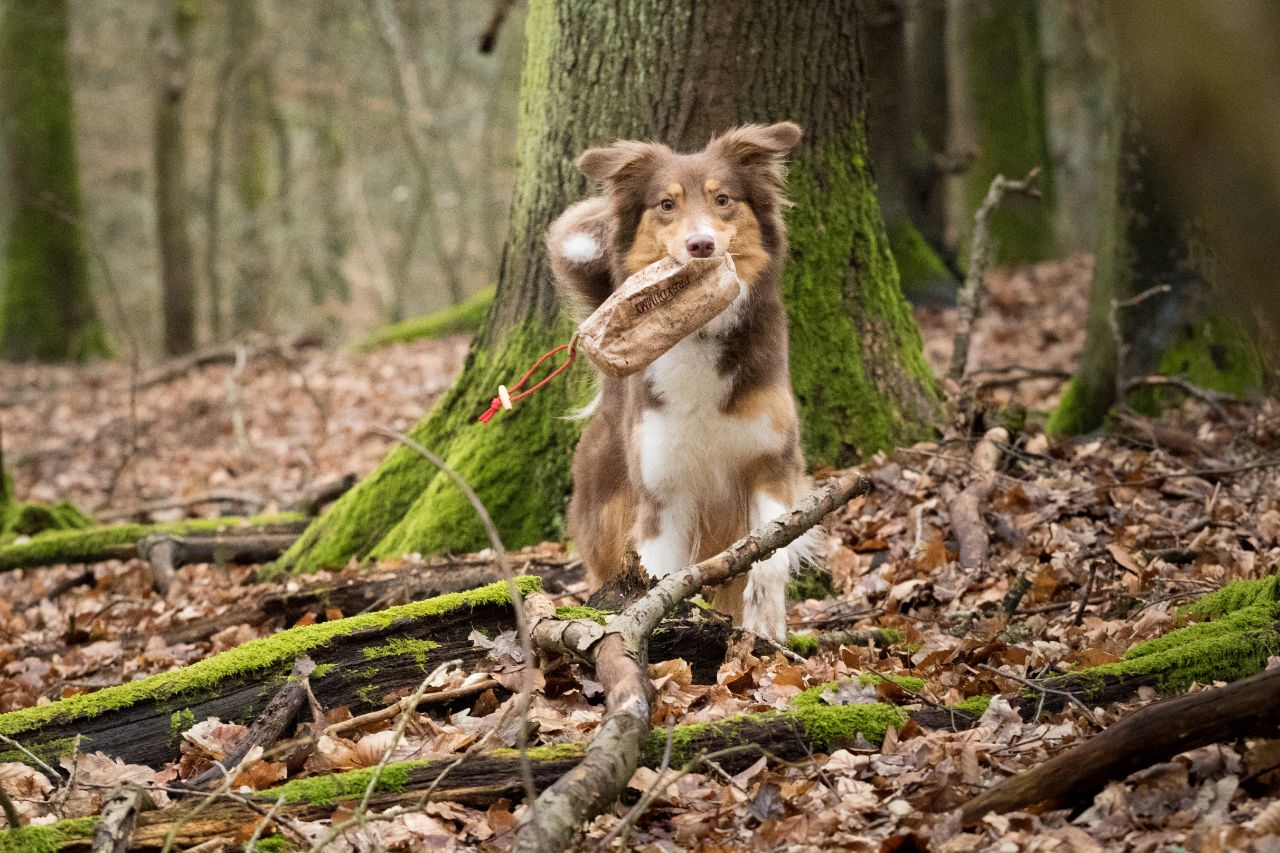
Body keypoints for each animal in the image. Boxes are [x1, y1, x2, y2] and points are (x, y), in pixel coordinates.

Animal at [545, 119, 814, 637]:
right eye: (666, 205)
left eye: (723, 199)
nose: (701, 245)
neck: (698, 330)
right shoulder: (662, 496)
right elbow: (656, 580)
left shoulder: (773, 464)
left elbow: (770, 556)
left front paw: (764, 624)